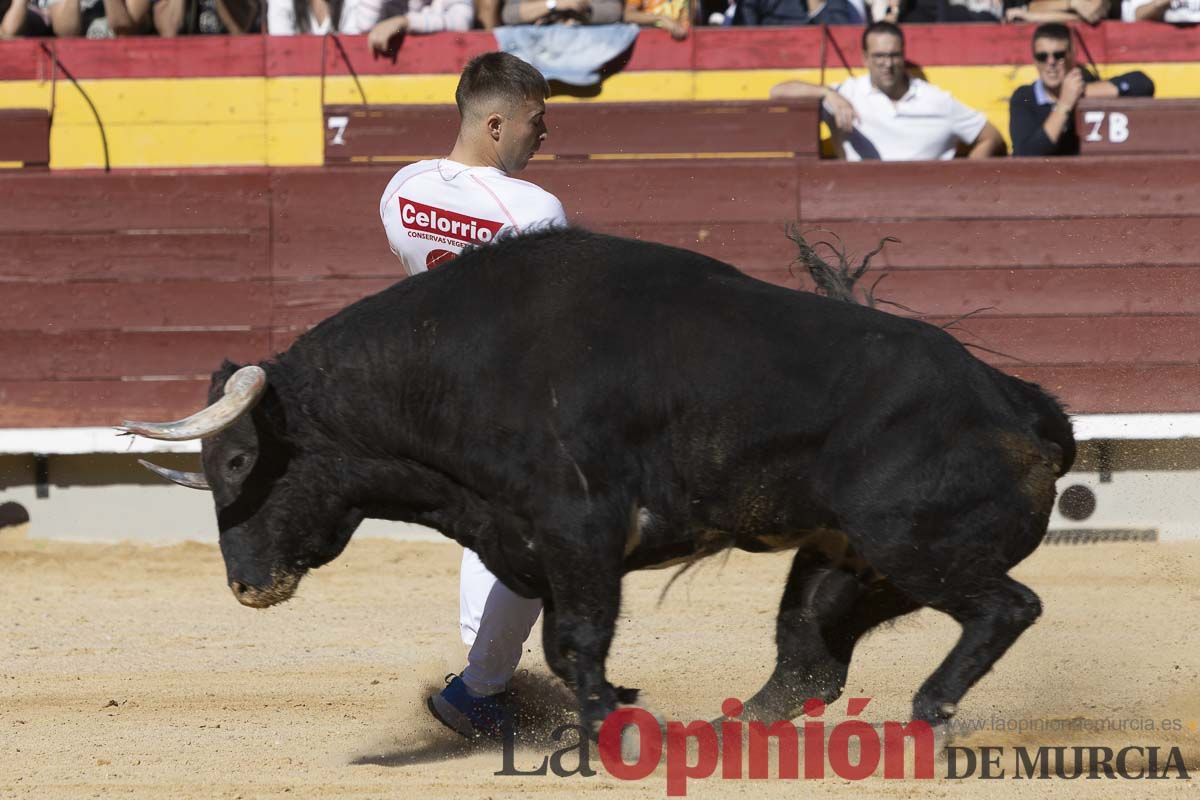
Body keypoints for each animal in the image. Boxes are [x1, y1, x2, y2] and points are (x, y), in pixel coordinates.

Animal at [126, 227, 1075, 734]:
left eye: (238, 460)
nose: (246, 585)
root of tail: (1020, 404)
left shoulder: (579, 532)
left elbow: (578, 639)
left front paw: (603, 730)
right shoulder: (533, 543)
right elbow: (559, 644)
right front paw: (615, 710)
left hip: (915, 544)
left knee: (1007, 607)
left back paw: (928, 709)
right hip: (844, 560)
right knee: (807, 657)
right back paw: (727, 734)